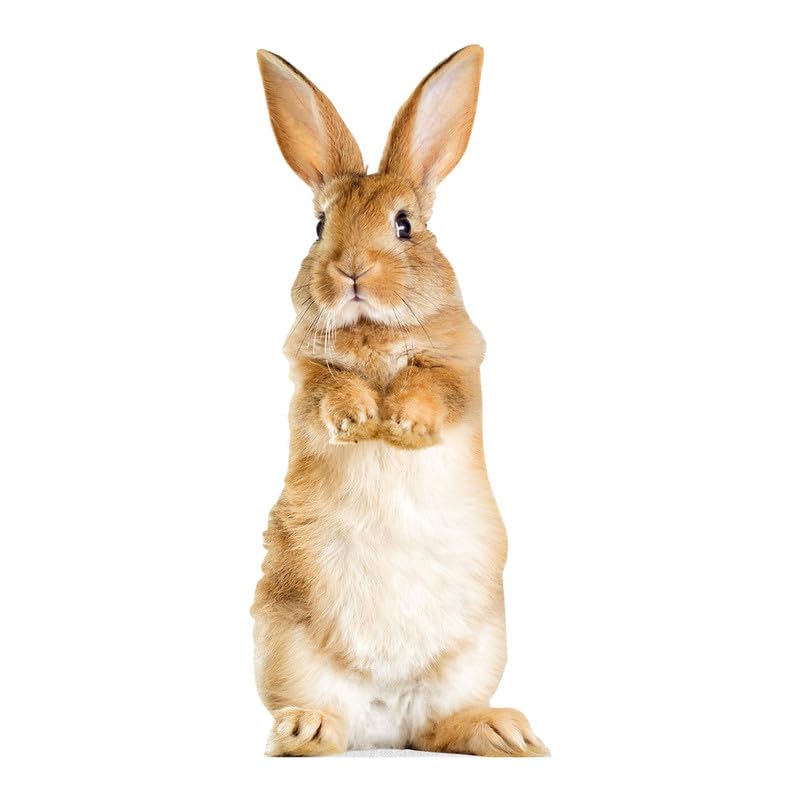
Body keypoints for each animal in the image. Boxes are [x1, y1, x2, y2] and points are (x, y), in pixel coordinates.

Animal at [251, 44, 549, 757]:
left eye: (405, 225)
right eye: (320, 225)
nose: (351, 269)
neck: (373, 329)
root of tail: (385, 716)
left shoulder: (459, 372)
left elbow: (431, 389)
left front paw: (402, 427)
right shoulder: (308, 378)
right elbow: (332, 394)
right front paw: (363, 420)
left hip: (476, 655)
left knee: (443, 726)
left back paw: (505, 732)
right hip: (283, 642)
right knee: (326, 720)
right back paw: (304, 730)